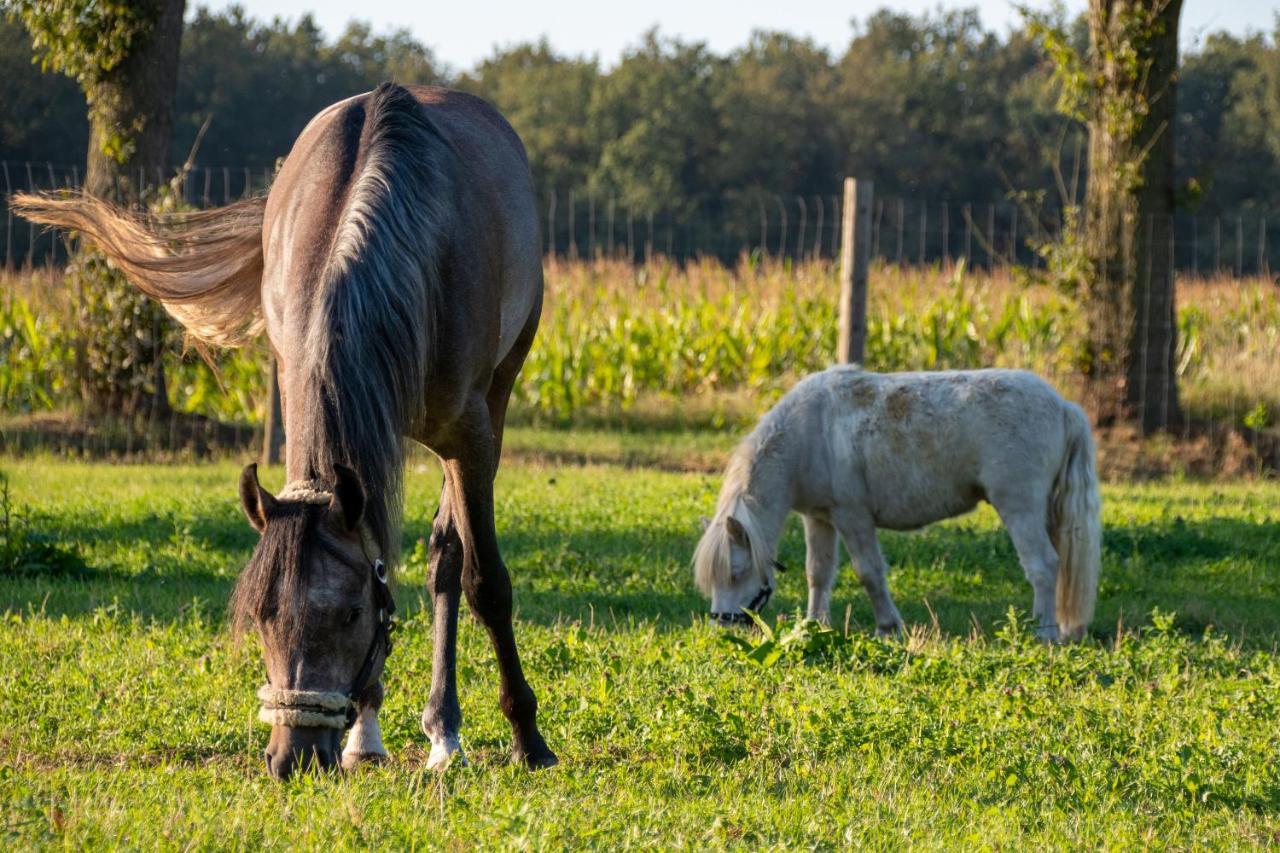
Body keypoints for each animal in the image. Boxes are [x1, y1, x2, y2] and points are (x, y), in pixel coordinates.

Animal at [13, 84, 555, 778]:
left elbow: (484, 580)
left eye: (350, 614)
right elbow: (382, 546)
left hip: (498, 396)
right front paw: (365, 735)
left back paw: (446, 729)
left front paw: (527, 737)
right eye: (262, 614)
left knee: (448, 558)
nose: (291, 756)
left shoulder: (470, 437)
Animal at [691, 363, 1100, 637]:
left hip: (1019, 507)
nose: (722, 627)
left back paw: (1043, 633)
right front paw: (814, 625)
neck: (808, 434)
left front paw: (888, 627)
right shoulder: (819, 518)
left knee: (1043, 565)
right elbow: (818, 573)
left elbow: (869, 572)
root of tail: (1063, 405)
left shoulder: (852, 517)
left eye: (736, 572)